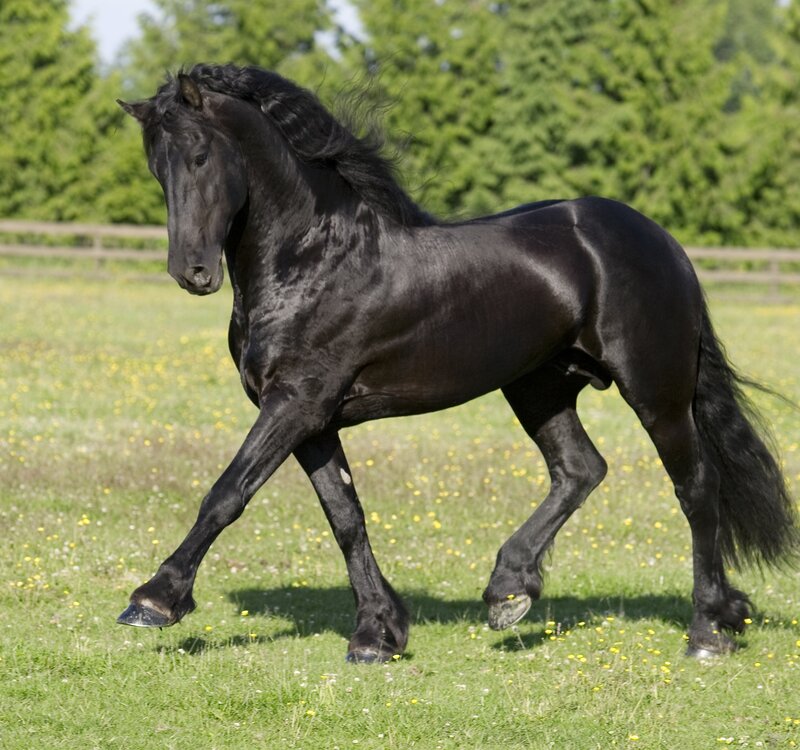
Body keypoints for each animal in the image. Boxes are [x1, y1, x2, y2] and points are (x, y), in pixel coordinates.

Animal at [117, 63, 797, 662]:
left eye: (200, 156)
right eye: (156, 166)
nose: (192, 272)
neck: (315, 257)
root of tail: (662, 242)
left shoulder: (297, 404)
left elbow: (228, 492)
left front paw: (154, 600)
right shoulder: (311, 418)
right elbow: (346, 517)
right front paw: (377, 635)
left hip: (656, 389)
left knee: (696, 488)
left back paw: (707, 631)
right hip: (539, 387)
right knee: (580, 469)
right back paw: (510, 591)